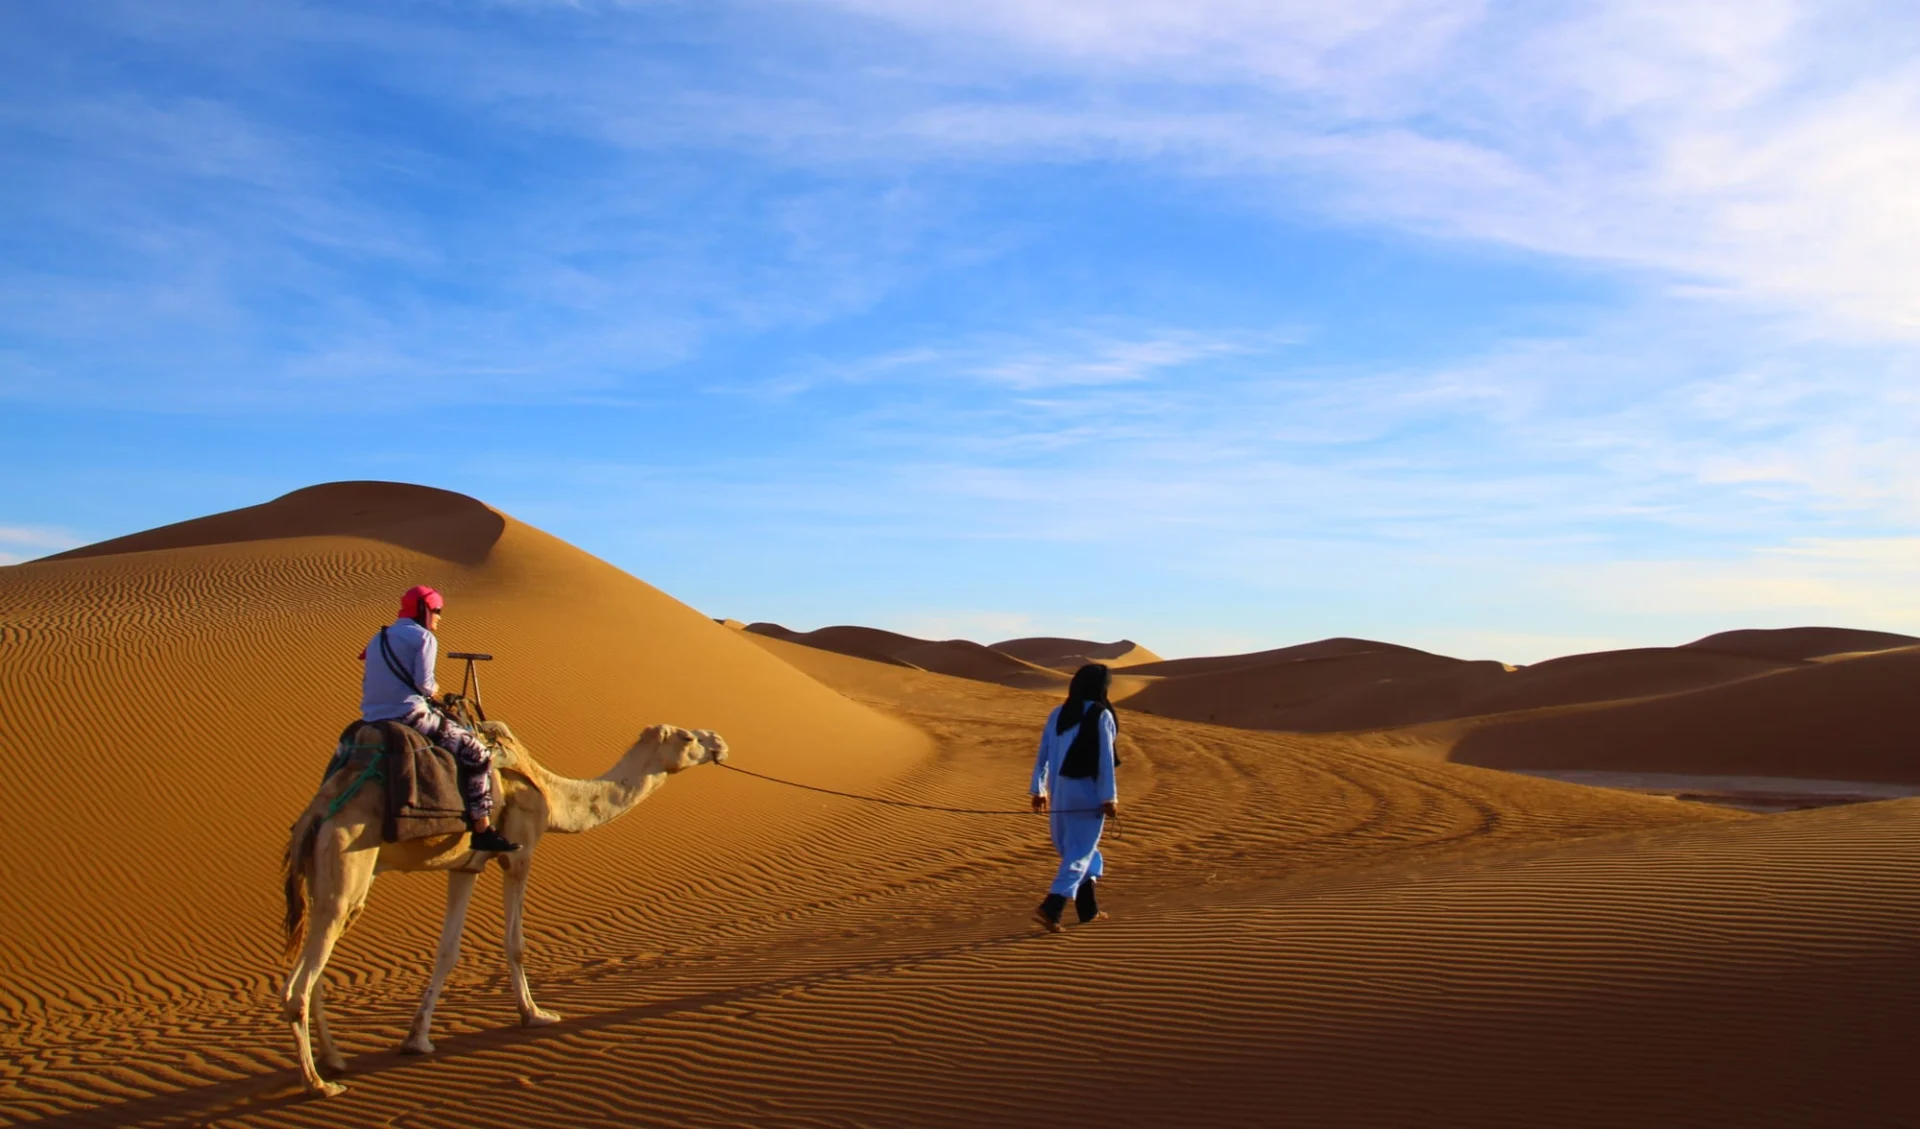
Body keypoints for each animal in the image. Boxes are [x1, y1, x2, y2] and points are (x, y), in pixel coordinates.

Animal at [270, 718, 721, 1098]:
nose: (719, 741)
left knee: (317, 971)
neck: (550, 793)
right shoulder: (520, 850)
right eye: (688, 738)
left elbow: (447, 952)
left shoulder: (464, 866)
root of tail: (313, 815)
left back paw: (335, 1060)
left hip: (337, 884)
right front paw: (535, 1014)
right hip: (346, 866)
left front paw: (417, 1039)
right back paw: (318, 1083)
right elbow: (515, 943)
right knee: (297, 987)